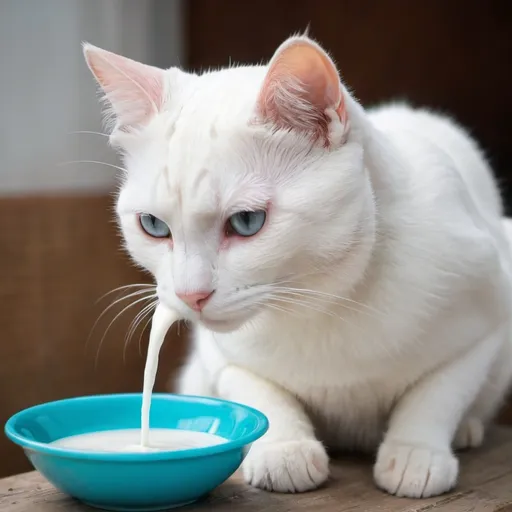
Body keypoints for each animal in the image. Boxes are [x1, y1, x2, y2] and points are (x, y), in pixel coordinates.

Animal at [84, 36, 512, 500]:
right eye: (153, 226)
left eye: (246, 221)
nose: (190, 295)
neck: (322, 304)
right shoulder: (221, 356)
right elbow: (260, 391)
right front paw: (284, 448)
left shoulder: (486, 318)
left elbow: (438, 392)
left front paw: (415, 453)